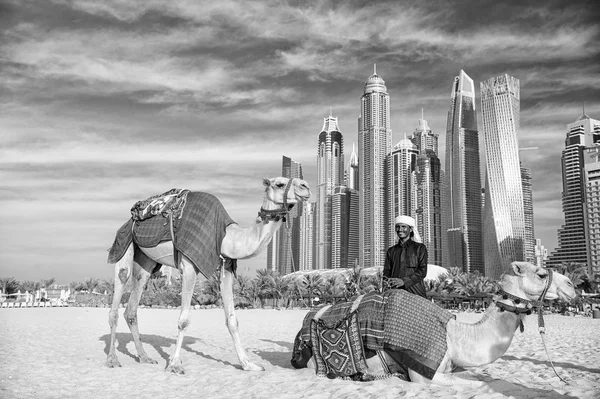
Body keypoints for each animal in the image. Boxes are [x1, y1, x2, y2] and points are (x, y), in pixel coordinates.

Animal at [105, 177, 310, 374]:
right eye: (280, 183)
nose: (305, 186)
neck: (227, 237)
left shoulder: (226, 268)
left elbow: (232, 320)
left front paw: (248, 365)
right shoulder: (189, 265)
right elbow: (183, 320)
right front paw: (175, 365)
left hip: (146, 261)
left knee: (132, 305)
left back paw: (144, 357)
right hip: (124, 242)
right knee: (121, 284)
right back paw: (112, 360)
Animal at [290, 262, 576, 388]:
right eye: (541, 274)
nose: (572, 286)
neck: (455, 337)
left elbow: (480, 378)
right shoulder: (424, 372)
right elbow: (476, 384)